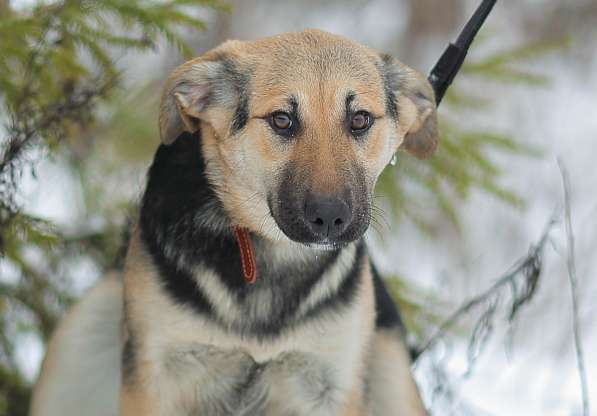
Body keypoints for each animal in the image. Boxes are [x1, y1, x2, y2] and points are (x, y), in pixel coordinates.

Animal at [29, 30, 438, 416]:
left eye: (360, 120)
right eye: (282, 120)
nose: (330, 217)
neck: (269, 257)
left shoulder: (334, 382)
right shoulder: (154, 373)